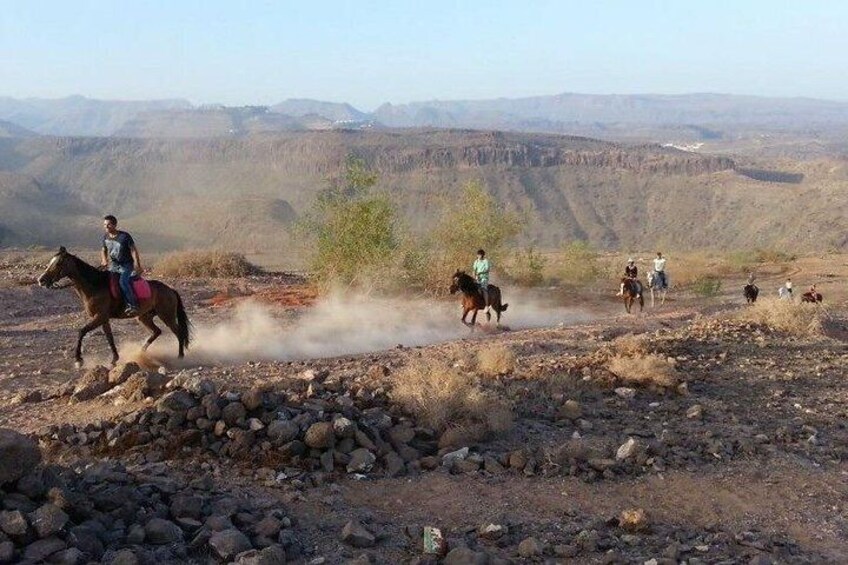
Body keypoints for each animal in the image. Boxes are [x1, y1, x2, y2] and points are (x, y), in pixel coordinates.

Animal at [36, 247, 190, 366]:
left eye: (59, 263)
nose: (41, 280)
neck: (95, 285)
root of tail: (170, 290)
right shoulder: (103, 319)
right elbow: (109, 337)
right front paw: (115, 359)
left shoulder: (100, 316)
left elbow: (82, 331)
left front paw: (78, 360)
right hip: (144, 317)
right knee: (157, 331)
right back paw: (141, 352)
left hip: (167, 316)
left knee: (179, 332)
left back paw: (180, 357)